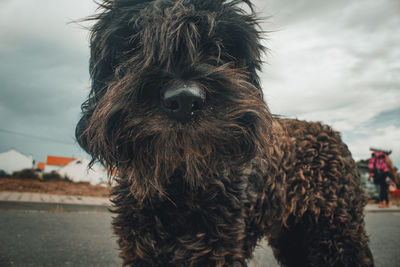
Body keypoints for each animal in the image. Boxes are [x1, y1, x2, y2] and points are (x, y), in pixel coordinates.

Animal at [76, 1, 376, 266]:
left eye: (219, 48)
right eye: (136, 43)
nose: (184, 99)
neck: (179, 186)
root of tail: (331, 133)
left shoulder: (218, 249)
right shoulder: (140, 249)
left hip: (335, 234)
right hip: (295, 236)